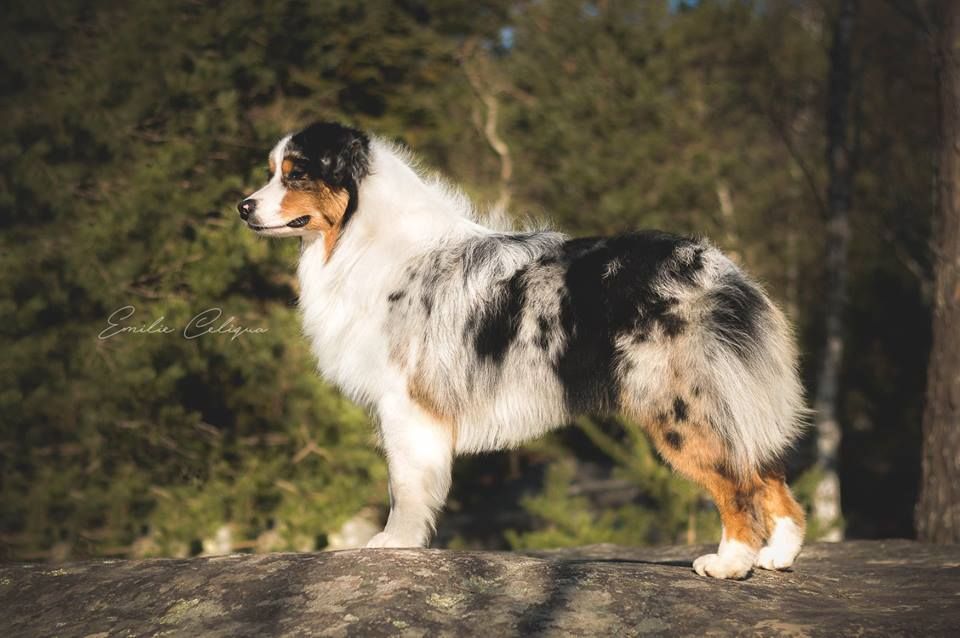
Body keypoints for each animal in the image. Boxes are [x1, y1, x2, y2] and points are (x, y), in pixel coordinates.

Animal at [236, 120, 808, 580]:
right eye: (271, 171)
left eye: (295, 174)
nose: (243, 207)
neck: (359, 235)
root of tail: (721, 271)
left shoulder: (407, 402)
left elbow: (406, 484)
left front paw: (393, 543)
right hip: (731, 397)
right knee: (770, 474)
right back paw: (777, 557)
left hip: (678, 405)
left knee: (736, 481)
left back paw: (730, 563)